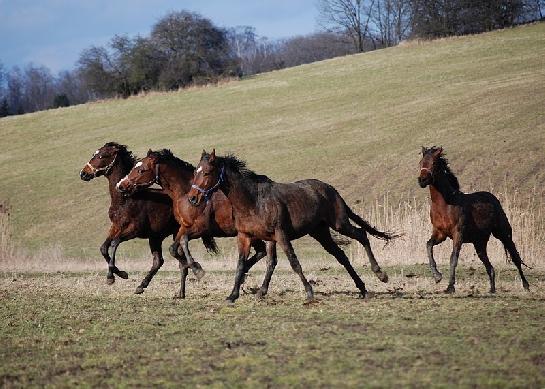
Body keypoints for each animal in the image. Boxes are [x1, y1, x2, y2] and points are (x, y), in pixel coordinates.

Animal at [79, 143, 209, 298]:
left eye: (101, 156)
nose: (83, 173)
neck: (125, 200)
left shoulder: (134, 230)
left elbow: (114, 243)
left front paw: (113, 277)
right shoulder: (116, 226)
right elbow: (104, 248)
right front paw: (119, 274)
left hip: (172, 233)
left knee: (175, 260)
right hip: (155, 238)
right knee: (160, 261)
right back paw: (158, 289)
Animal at [116, 149, 268, 292]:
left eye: (141, 170)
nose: (121, 185)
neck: (185, 193)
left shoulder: (199, 229)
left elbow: (181, 245)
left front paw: (197, 269)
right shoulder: (183, 227)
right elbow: (174, 249)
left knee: (263, 251)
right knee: (262, 251)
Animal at [187, 150, 396, 302]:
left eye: (207, 172)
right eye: (195, 172)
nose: (192, 198)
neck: (253, 201)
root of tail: (331, 189)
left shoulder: (280, 235)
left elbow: (294, 263)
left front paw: (309, 292)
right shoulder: (247, 237)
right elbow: (247, 265)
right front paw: (234, 295)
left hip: (339, 223)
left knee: (361, 235)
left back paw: (380, 274)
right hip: (320, 233)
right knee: (341, 255)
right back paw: (362, 288)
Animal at [416, 147, 528, 292]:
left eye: (434, 163)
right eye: (421, 163)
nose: (422, 180)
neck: (446, 204)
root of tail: (494, 199)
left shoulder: (458, 234)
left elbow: (453, 258)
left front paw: (450, 287)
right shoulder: (440, 234)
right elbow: (429, 245)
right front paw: (437, 276)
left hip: (503, 234)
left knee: (515, 257)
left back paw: (526, 285)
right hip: (479, 243)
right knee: (489, 266)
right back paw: (492, 290)